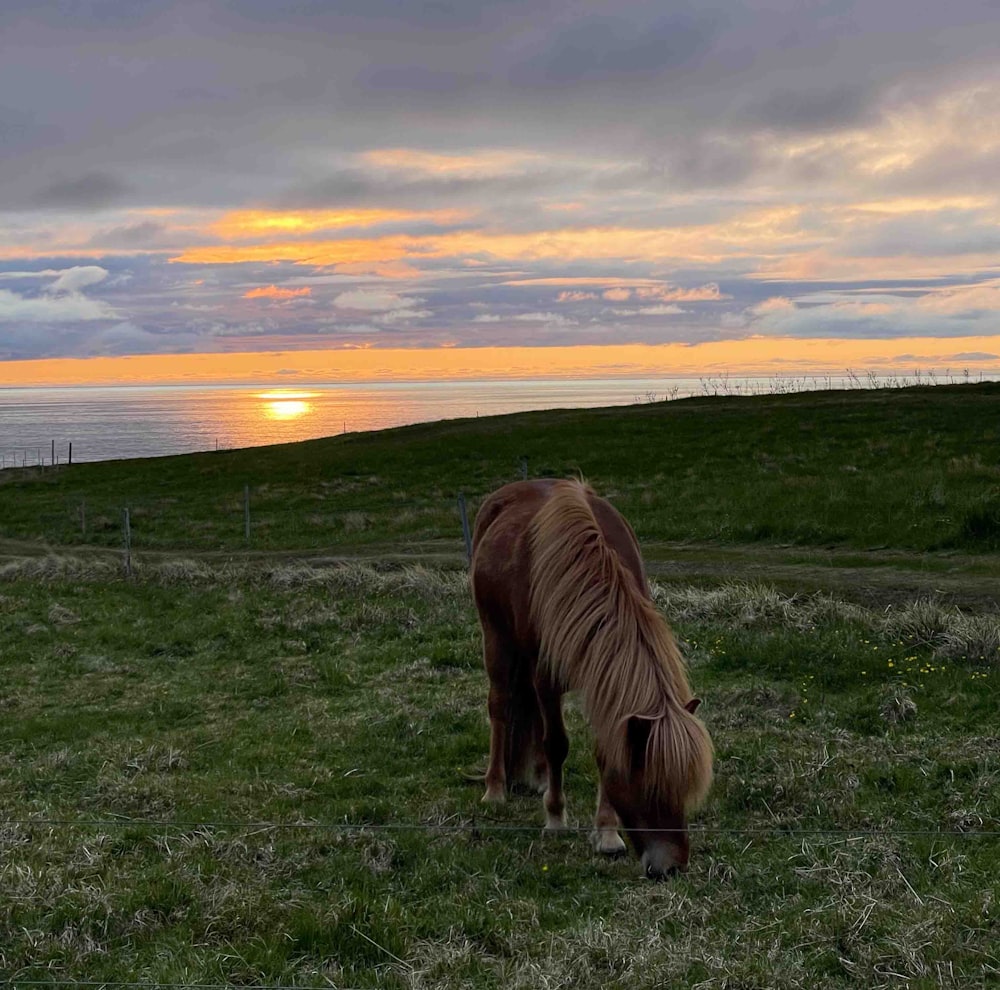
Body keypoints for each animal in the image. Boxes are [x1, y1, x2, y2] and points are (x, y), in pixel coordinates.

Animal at [468, 478, 712, 876]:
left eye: (684, 789)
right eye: (651, 789)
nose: (672, 867)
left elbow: (601, 751)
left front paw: (608, 834)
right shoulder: (546, 674)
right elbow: (557, 743)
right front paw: (555, 818)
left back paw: (539, 778)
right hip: (497, 639)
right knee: (500, 708)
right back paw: (495, 788)